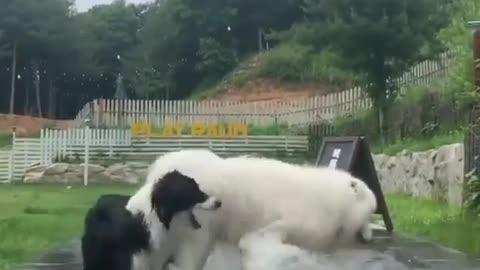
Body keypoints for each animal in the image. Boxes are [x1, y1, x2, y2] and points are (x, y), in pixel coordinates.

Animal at [125, 149, 376, 270]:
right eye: (370, 213)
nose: (370, 239)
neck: (334, 202)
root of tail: (158, 169)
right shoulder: (303, 218)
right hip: (195, 214)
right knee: (193, 250)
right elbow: (259, 240)